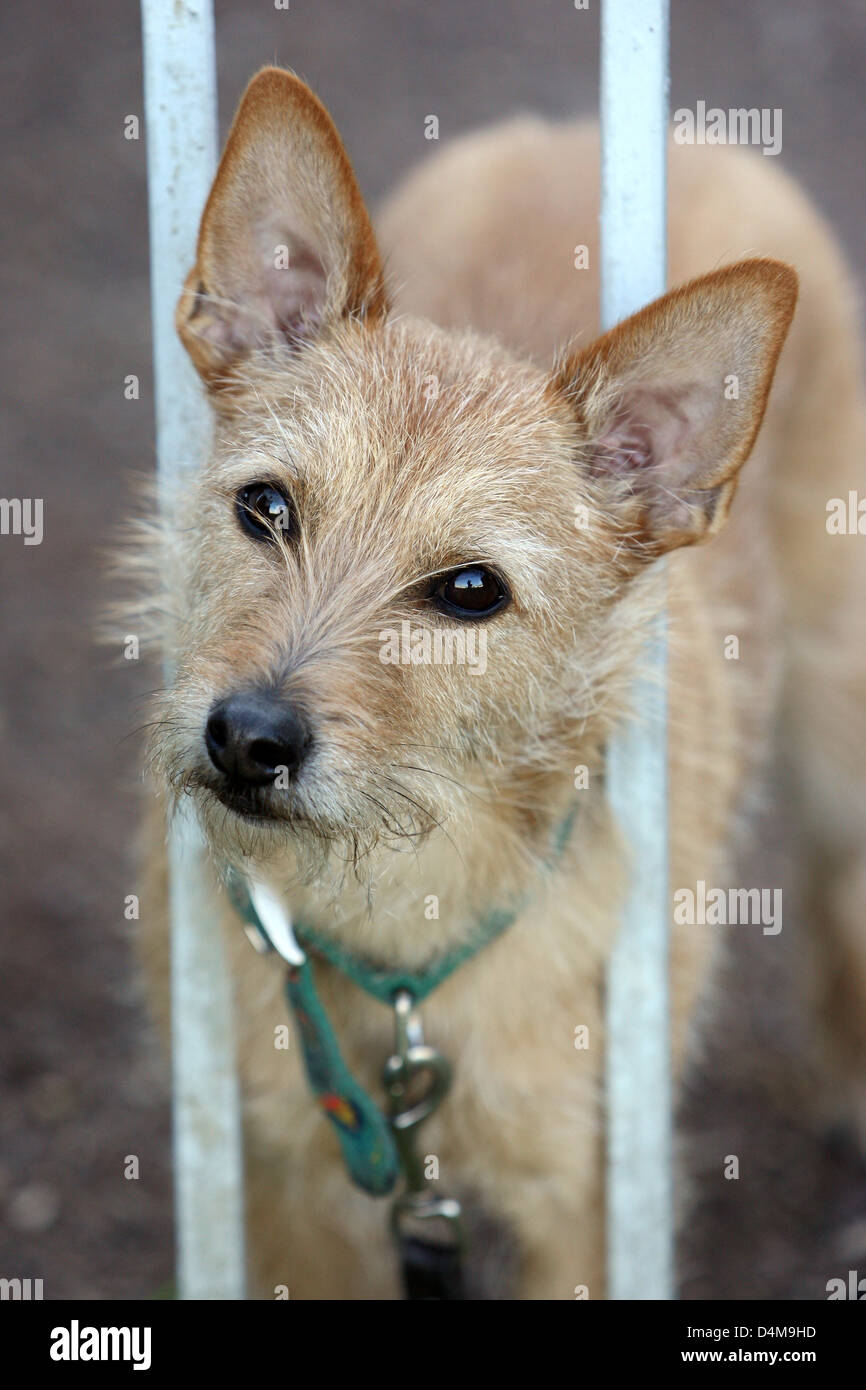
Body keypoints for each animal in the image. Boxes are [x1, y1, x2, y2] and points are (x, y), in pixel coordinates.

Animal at [134, 67, 866, 1301]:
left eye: (471, 590)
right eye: (265, 507)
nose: (246, 737)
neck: (400, 928)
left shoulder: (585, 1206)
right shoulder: (292, 1197)